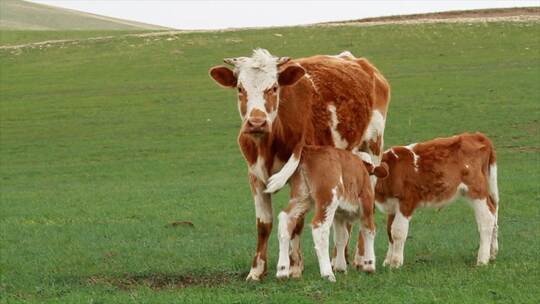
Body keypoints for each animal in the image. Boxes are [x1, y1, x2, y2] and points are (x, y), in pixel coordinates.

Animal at [274, 146, 388, 282]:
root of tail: (310, 149)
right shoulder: (367, 206)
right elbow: (369, 231)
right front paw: (369, 265)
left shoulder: (339, 215)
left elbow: (341, 237)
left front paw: (340, 267)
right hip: (328, 198)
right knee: (320, 227)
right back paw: (327, 273)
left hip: (301, 198)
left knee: (285, 219)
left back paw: (282, 271)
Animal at [374, 132, 500, 268]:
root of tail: (476, 135)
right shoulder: (391, 206)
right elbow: (389, 231)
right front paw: (387, 261)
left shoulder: (406, 202)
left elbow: (397, 231)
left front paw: (395, 262)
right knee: (493, 213)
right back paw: (492, 253)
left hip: (476, 190)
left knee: (487, 218)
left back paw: (482, 259)